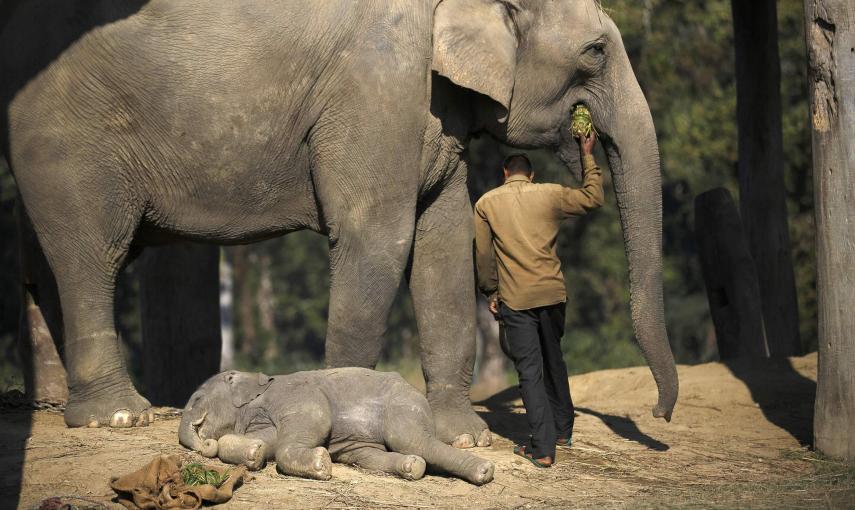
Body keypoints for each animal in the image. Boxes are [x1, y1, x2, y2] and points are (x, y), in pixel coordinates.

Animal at [1, 0, 684, 442]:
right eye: (596, 51)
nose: (659, 416)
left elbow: (442, 241)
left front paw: (464, 437)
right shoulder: (376, 88)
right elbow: (378, 238)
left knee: (42, 267)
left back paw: (51, 404)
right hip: (66, 133)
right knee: (91, 255)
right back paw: (121, 417)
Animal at [181, 368, 494, 484]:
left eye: (196, 398)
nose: (204, 441)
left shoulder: (297, 395)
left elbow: (314, 421)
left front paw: (321, 463)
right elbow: (270, 440)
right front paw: (254, 452)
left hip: (403, 405)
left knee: (412, 439)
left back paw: (484, 472)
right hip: (365, 444)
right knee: (371, 455)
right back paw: (412, 467)